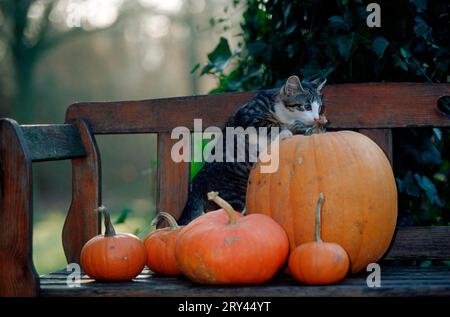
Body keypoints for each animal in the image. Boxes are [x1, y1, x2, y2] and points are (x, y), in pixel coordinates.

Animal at [177, 75, 326, 223]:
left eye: (319, 108)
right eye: (306, 106)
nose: (316, 118)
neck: (279, 108)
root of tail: (197, 182)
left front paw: (310, 128)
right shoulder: (248, 117)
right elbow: (271, 125)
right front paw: (285, 132)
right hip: (235, 194)